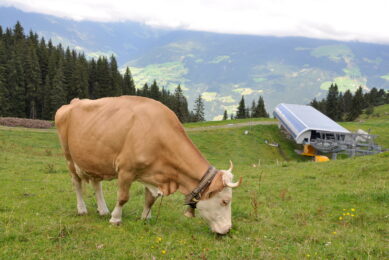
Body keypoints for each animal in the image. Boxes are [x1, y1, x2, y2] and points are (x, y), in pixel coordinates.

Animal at [54, 96, 239, 235]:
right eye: (225, 201)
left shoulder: (153, 174)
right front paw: (115, 219)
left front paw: (145, 217)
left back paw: (103, 209)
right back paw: (82, 209)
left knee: (95, 183)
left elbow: (151, 199)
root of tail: (74, 102)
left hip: (94, 160)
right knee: (76, 183)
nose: (228, 229)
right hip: (69, 157)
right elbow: (123, 197)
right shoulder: (126, 170)